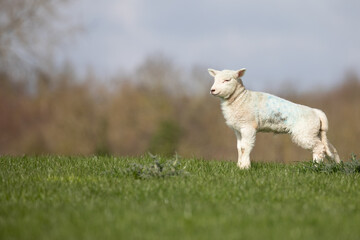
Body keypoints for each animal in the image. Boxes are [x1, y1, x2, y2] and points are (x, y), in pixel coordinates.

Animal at [208, 67, 340, 169]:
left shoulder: (248, 126)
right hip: (316, 132)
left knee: (319, 147)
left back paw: (316, 166)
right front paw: (239, 166)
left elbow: (246, 147)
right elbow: (239, 148)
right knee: (329, 148)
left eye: (227, 80)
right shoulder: (238, 129)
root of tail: (316, 112)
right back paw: (336, 164)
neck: (240, 99)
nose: (212, 90)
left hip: (305, 133)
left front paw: (245, 167)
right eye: (215, 79)